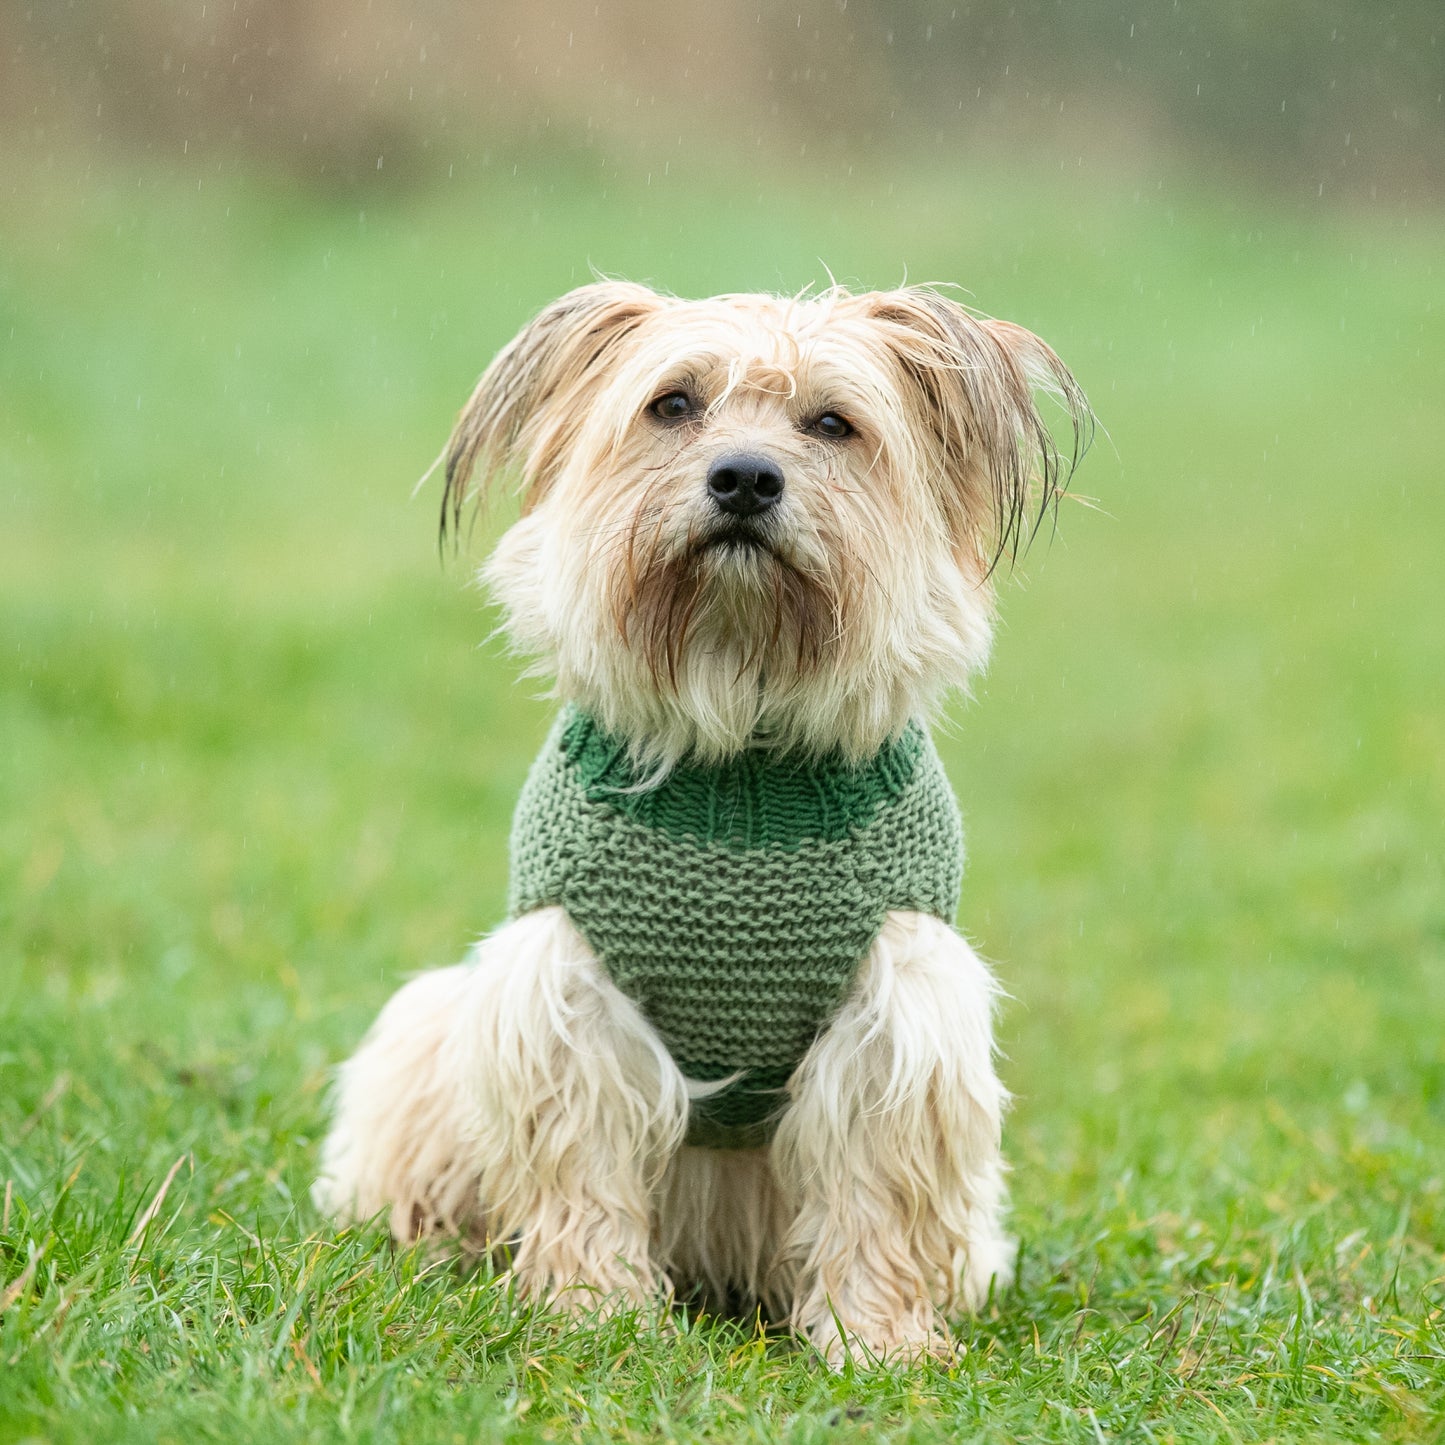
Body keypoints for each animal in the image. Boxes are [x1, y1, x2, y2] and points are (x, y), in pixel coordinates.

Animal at [313, 281, 1086, 1364]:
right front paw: (591, 1311)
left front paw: (876, 1338)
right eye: (672, 404)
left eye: (831, 424)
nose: (744, 477)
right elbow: (582, 1175)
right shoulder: (570, 996)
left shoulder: (893, 1013)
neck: (739, 750)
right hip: (430, 1023)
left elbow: (874, 1198)